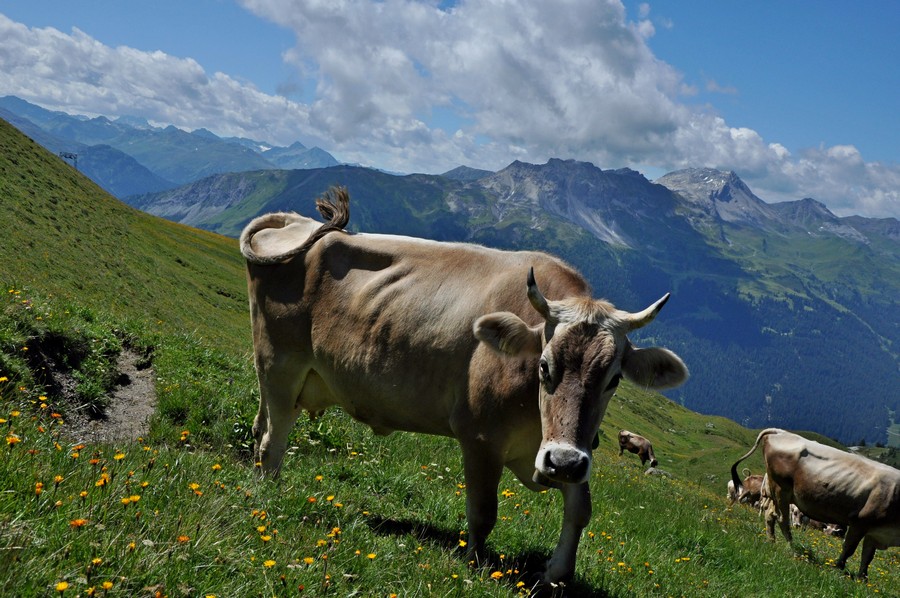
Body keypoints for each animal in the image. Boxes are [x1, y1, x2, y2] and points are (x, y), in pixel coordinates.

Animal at [239, 188, 688, 584]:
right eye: (543, 366)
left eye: (614, 380)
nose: (562, 463)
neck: (534, 416)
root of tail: (297, 221)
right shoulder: (481, 437)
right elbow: (484, 511)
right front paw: (473, 566)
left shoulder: (560, 450)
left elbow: (581, 509)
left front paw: (556, 574)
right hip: (279, 362)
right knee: (272, 441)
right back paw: (267, 500)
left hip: (284, 378)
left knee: (261, 426)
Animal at [732, 432, 900, 580]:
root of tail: (780, 432)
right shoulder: (860, 522)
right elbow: (849, 549)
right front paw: (838, 569)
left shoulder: (875, 532)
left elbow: (867, 557)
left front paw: (862, 580)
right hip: (781, 490)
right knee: (782, 519)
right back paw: (792, 547)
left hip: (777, 493)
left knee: (770, 515)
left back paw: (771, 541)